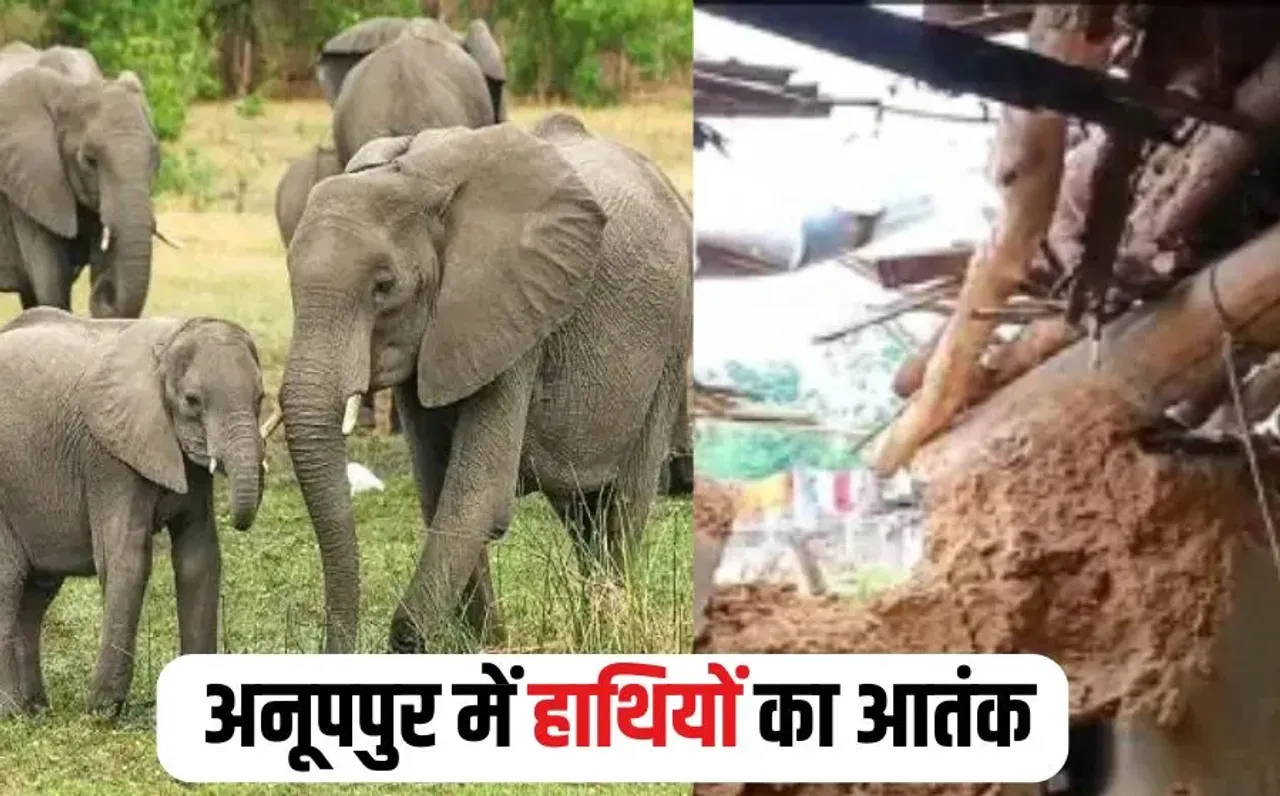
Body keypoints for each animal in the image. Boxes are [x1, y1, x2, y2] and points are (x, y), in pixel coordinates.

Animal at [0, 67, 166, 319]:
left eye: (155, 156)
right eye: (90, 161)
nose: (105, 289)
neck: (70, 90)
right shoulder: (29, 194)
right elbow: (52, 287)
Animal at [0, 307, 266, 718]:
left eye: (260, 398)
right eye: (192, 401)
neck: (169, 341)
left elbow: (199, 557)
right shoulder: (110, 459)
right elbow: (127, 558)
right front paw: (101, 711)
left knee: (35, 593)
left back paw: (35, 709)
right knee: (8, 583)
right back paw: (15, 713)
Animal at [274, 113, 691, 654]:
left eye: (384, 287)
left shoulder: (512, 314)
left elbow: (476, 495)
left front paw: (415, 642)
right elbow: (437, 490)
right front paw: (485, 645)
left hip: (671, 342)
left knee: (624, 501)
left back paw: (611, 635)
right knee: (582, 511)